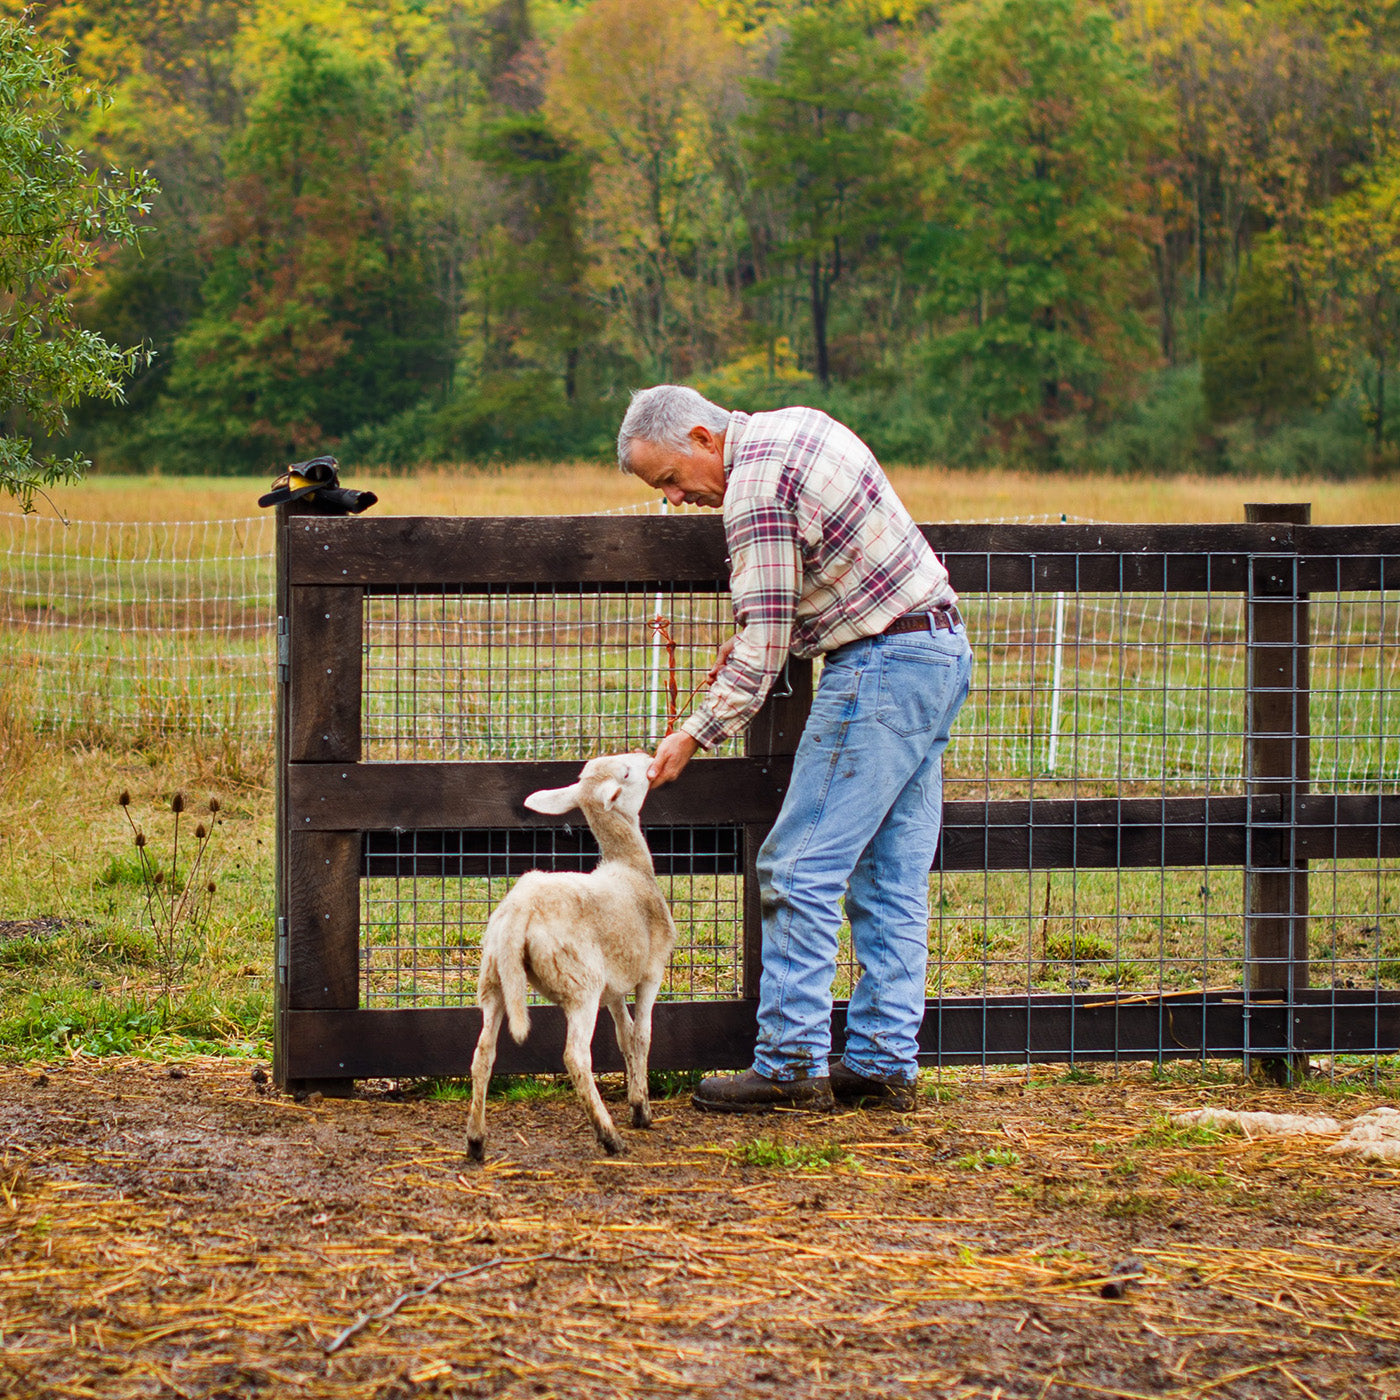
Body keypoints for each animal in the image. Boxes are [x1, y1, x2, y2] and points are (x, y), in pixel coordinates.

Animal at [467, 756, 680, 1159]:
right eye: (626, 772)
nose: (649, 759)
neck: (630, 867)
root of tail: (520, 909)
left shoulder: (614, 988)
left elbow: (624, 1035)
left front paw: (634, 1098)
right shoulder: (651, 971)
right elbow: (642, 1035)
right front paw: (642, 1109)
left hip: (494, 977)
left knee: (483, 1053)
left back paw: (475, 1141)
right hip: (581, 983)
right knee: (575, 1056)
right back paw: (609, 1136)